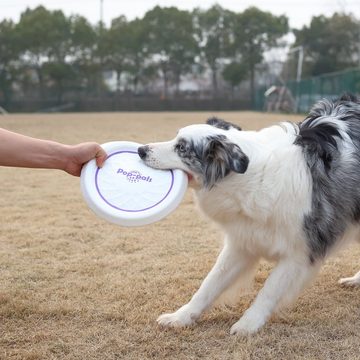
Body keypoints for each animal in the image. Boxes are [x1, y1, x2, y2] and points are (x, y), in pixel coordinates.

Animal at [136, 94, 358, 336]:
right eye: (176, 138)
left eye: (181, 148)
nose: (141, 150)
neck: (253, 178)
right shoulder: (243, 241)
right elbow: (210, 284)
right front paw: (181, 316)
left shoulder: (300, 251)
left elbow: (269, 290)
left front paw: (248, 324)